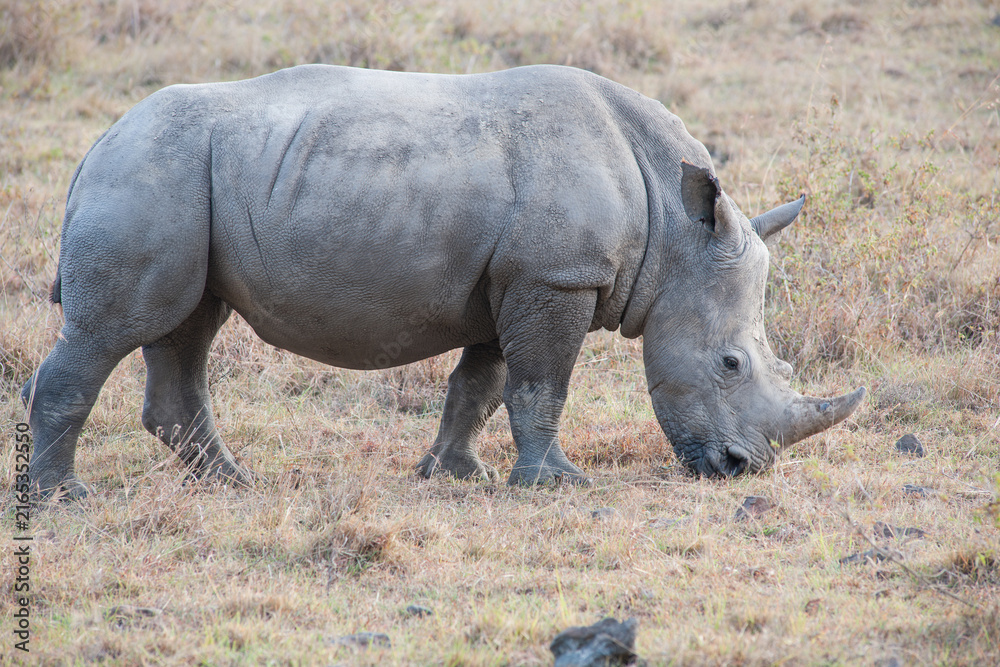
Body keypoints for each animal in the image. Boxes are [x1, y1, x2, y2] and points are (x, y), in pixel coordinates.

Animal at [22, 64, 864, 498]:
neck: (672, 227)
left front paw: (456, 472)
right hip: (150, 173)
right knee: (114, 330)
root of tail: (99, 142)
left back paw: (232, 483)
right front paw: (556, 483)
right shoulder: (556, 276)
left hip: (185, 182)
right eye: (731, 362)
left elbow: (483, 385)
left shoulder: (515, 280)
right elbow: (543, 384)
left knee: (186, 326)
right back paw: (63, 498)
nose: (742, 469)